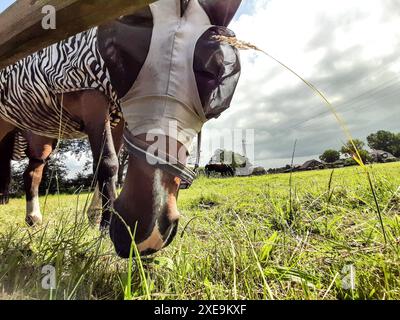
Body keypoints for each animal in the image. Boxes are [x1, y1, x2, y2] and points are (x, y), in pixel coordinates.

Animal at [0, 0, 242, 256]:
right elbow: (108, 163)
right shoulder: (93, 100)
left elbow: (108, 162)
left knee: (32, 173)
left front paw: (96, 220)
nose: (150, 232)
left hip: (41, 137)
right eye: (131, 56)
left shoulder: (117, 118)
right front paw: (105, 224)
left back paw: (34, 219)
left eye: (215, 75)